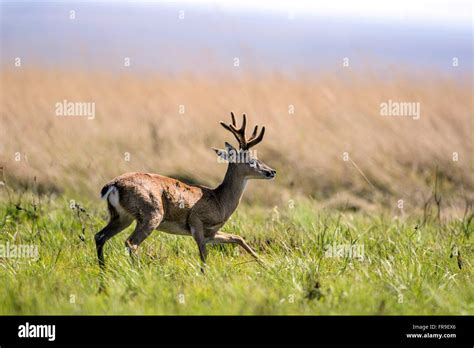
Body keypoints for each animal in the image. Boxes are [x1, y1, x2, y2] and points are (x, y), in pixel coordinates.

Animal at [94, 113, 276, 270]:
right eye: (252, 160)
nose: (272, 171)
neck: (219, 201)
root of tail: (113, 185)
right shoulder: (197, 222)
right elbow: (204, 256)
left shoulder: (211, 233)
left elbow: (237, 237)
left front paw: (265, 265)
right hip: (151, 214)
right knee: (131, 243)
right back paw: (138, 272)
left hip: (121, 217)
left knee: (100, 236)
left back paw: (104, 273)